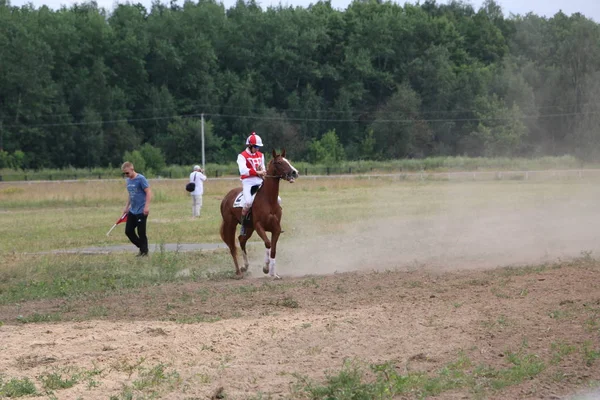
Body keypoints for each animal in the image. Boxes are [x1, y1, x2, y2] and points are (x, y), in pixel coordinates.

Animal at [219, 149, 298, 278]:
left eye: (288, 161)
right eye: (279, 162)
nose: (294, 172)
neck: (269, 200)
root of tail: (226, 197)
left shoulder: (276, 229)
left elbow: (273, 249)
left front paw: (273, 273)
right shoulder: (259, 226)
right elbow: (268, 243)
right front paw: (266, 268)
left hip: (249, 227)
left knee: (241, 240)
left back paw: (245, 266)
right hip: (231, 224)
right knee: (232, 246)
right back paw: (238, 271)